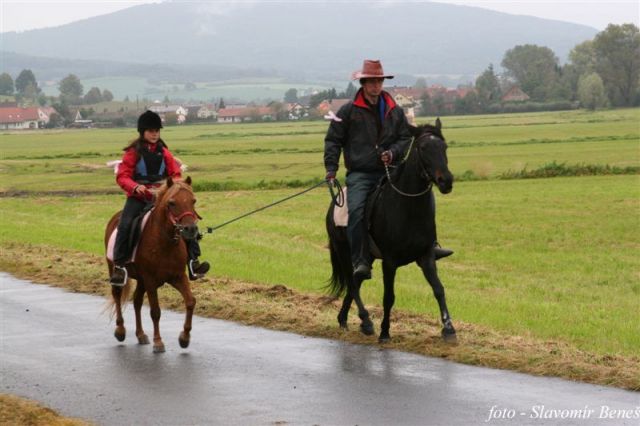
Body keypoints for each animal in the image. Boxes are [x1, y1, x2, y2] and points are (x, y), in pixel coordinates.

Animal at [105, 176, 200, 352]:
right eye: (172, 203)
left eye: (193, 200)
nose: (190, 229)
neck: (165, 242)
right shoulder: (151, 280)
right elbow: (155, 311)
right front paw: (158, 341)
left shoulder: (178, 276)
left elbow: (190, 301)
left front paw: (184, 338)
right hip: (115, 269)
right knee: (117, 295)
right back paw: (120, 330)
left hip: (141, 280)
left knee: (137, 301)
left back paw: (140, 334)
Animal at [328, 119, 458, 342]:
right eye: (423, 148)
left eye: (444, 147)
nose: (446, 181)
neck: (408, 209)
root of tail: (334, 203)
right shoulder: (389, 262)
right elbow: (389, 297)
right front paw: (385, 332)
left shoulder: (426, 256)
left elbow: (439, 289)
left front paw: (449, 329)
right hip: (344, 252)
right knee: (353, 283)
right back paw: (366, 320)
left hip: (367, 257)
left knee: (356, 281)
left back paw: (345, 319)